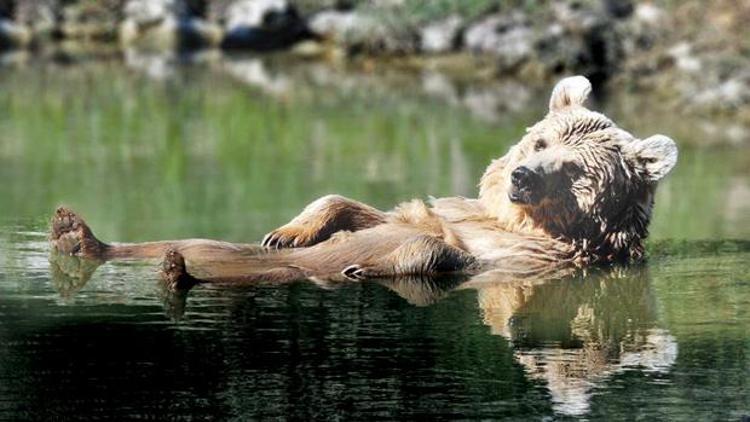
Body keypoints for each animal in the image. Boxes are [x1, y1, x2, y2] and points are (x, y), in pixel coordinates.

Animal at [48, 76, 680, 286]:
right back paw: (75, 233)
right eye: (541, 142)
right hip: (203, 242)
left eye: (575, 170)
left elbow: (434, 250)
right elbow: (374, 209)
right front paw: (291, 230)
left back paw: (175, 271)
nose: (523, 176)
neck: (515, 221)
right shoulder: (453, 211)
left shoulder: (527, 260)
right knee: (192, 242)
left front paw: (364, 264)